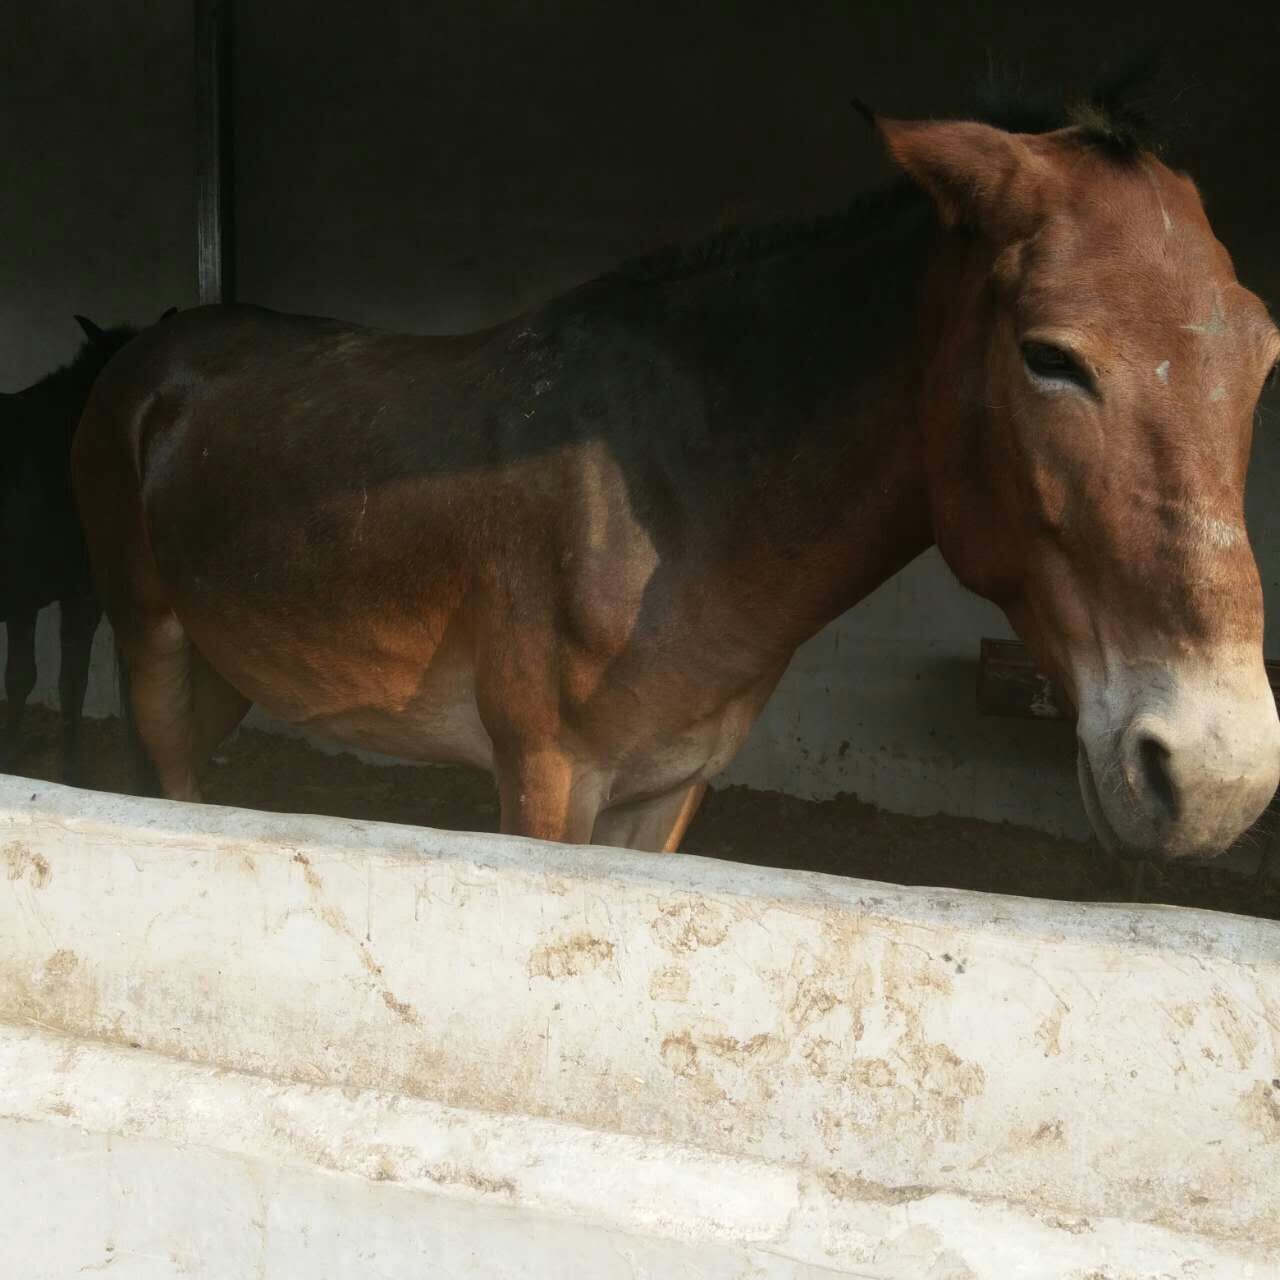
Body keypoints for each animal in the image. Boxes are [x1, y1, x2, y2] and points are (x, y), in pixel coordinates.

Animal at [72, 99, 1280, 858]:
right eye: (1049, 357)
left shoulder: (662, 788)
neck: (669, 504)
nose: (1216, 777)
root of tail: (149, 355)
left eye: (1264, 353)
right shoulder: (547, 781)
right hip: (151, 646)